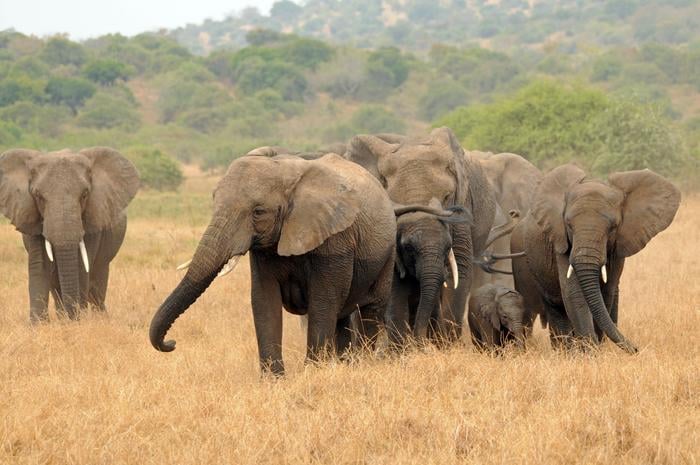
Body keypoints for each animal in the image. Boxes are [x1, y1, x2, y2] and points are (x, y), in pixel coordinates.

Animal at [0, 147, 139, 321]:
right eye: (38, 196)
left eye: (85, 194)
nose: (74, 316)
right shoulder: (31, 217)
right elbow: (40, 265)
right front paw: (39, 325)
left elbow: (81, 266)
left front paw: (76, 321)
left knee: (98, 280)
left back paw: (99, 316)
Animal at [149, 153, 459, 375]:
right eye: (214, 201)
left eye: (258, 212)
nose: (171, 344)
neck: (287, 174)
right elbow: (263, 299)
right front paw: (274, 380)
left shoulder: (335, 239)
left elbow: (323, 300)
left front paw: (314, 373)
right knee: (342, 316)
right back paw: (344, 364)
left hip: (385, 254)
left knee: (370, 309)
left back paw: (363, 364)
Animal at [511, 164, 680, 353]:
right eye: (568, 224)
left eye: (613, 227)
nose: (637, 349)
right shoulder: (560, 241)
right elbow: (573, 293)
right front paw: (590, 352)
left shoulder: (617, 247)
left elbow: (606, 292)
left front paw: (596, 349)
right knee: (554, 305)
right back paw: (565, 351)